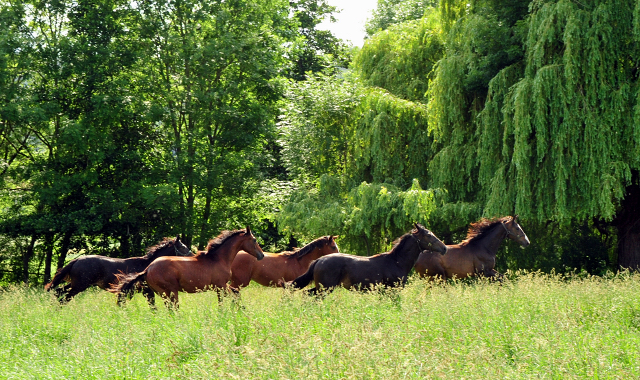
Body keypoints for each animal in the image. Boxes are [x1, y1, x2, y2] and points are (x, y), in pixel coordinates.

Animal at [44, 236, 191, 304]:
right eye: (183, 247)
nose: (192, 255)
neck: (147, 265)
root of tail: (76, 260)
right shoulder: (147, 291)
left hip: (75, 284)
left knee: (59, 292)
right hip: (79, 285)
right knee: (64, 297)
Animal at [110, 227, 262, 308]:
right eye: (254, 240)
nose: (261, 255)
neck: (218, 258)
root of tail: (148, 269)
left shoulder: (220, 288)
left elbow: (229, 298)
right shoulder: (221, 286)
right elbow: (233, 296)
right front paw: (240, 310)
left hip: (163, 293)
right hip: (171, 291)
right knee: (173, 308)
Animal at [288, 224, 444, 296]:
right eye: (428, 235)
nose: (444, 248)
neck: (396, 262)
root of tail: (318, 260)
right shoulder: (392, 291)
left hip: (322, 287)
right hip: (325, 288)